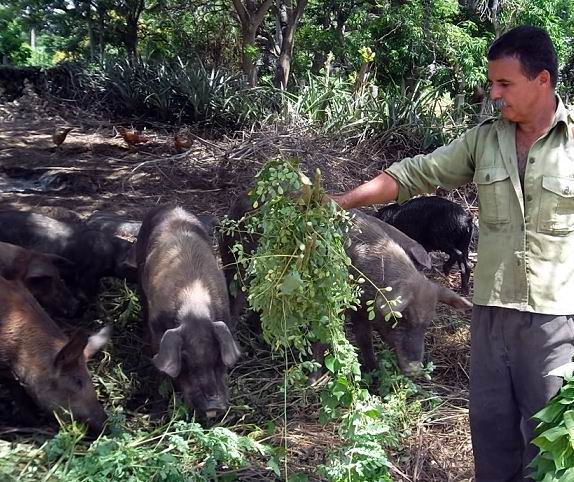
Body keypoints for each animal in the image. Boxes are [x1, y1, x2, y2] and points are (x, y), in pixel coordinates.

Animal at [136, 203, 242, 418]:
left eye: (218, 357)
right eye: (184, 360)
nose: (213, 407)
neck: (194, 309)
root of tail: (172, 206)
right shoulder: (156, 329)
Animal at [346, 213, 472, 374]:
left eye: (428, 322)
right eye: (402, 317)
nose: (414, 368)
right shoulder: (356, 307)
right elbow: (364, 339)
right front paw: (371, 370)